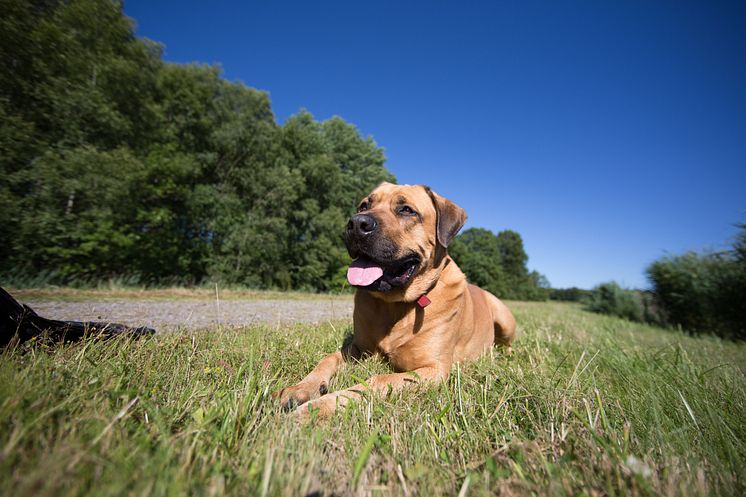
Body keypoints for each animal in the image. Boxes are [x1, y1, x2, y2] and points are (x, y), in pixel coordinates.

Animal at [274, 180, 512, 416]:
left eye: (406, 210)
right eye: (364, 205)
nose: (356, 223)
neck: (395, 305)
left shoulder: (433, 370)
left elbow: (376, 380)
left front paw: (314, 410)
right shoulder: (357, 349)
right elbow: (328, 358)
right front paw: (300, 389)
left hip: (504, 318)